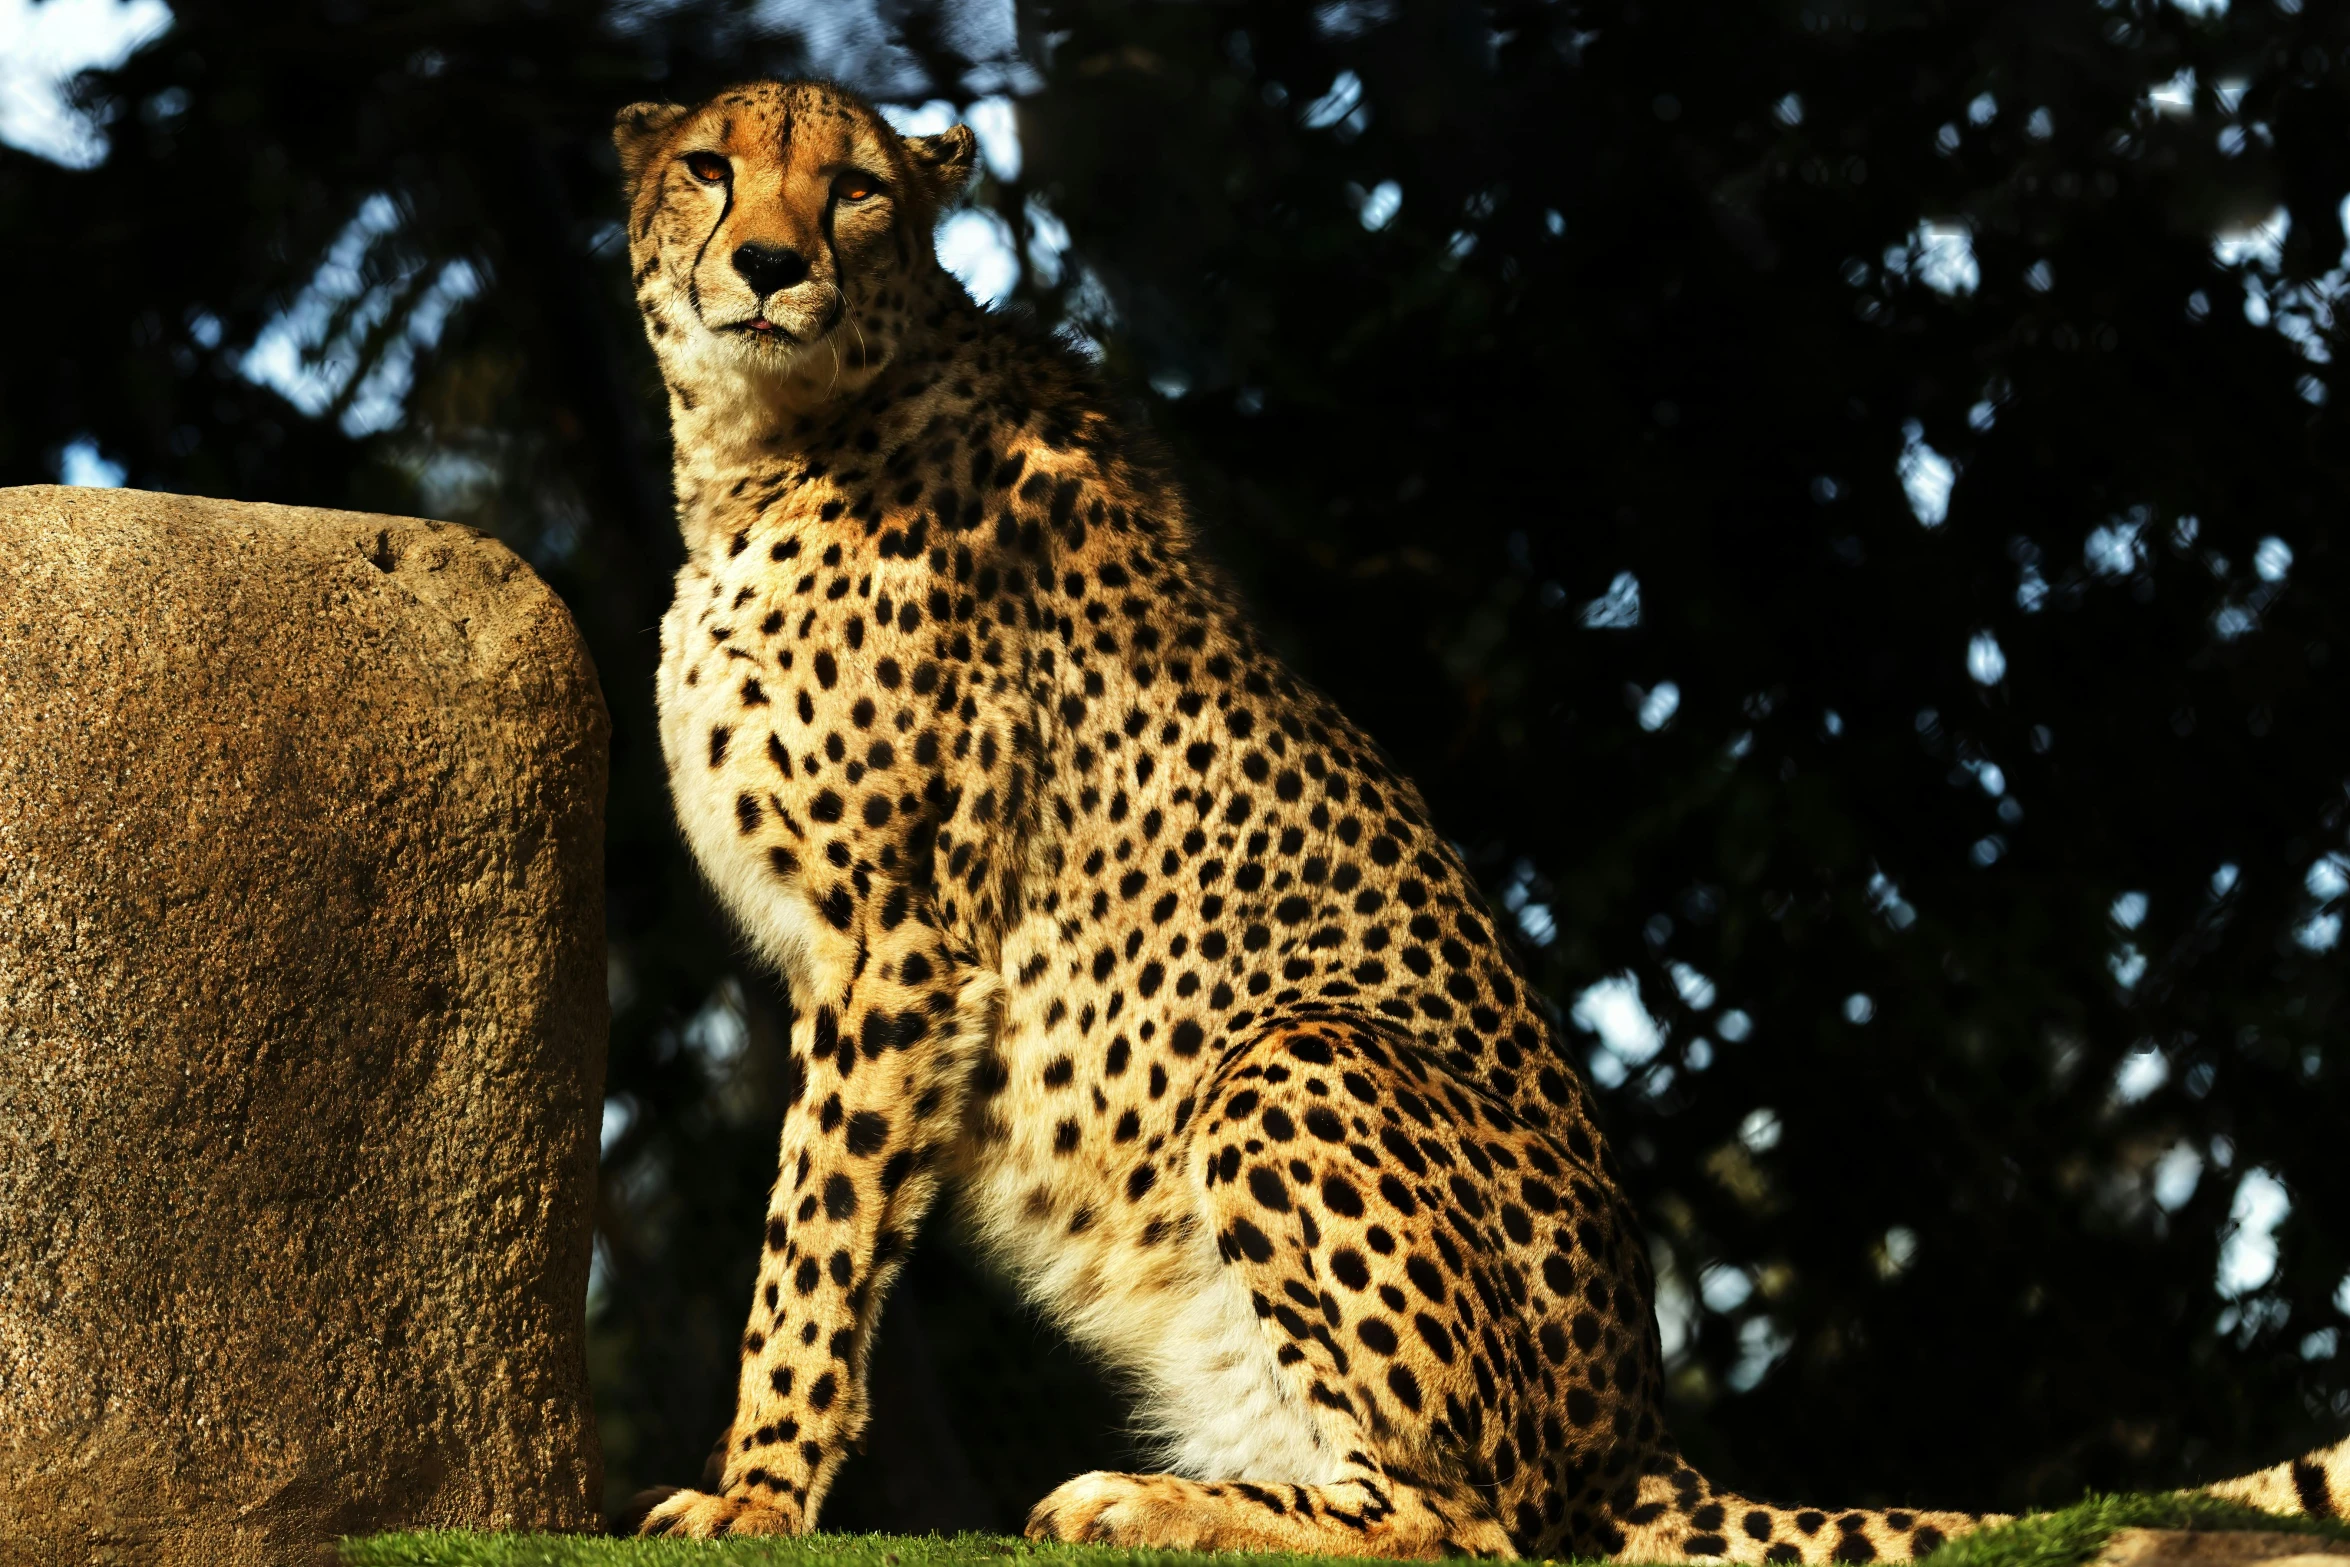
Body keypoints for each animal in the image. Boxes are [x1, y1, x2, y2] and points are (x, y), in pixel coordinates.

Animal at [611, 82, 2350, 1559]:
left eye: (854, 191)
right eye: (707, 166)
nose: (766, 264)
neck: (771, 442)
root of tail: (1636, 1433)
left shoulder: (895, 941)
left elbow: (815, 1238)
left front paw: (754, 1492)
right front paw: (761, 1481)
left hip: (1296, 1052)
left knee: (1467, 1522)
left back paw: (1152, 1502)